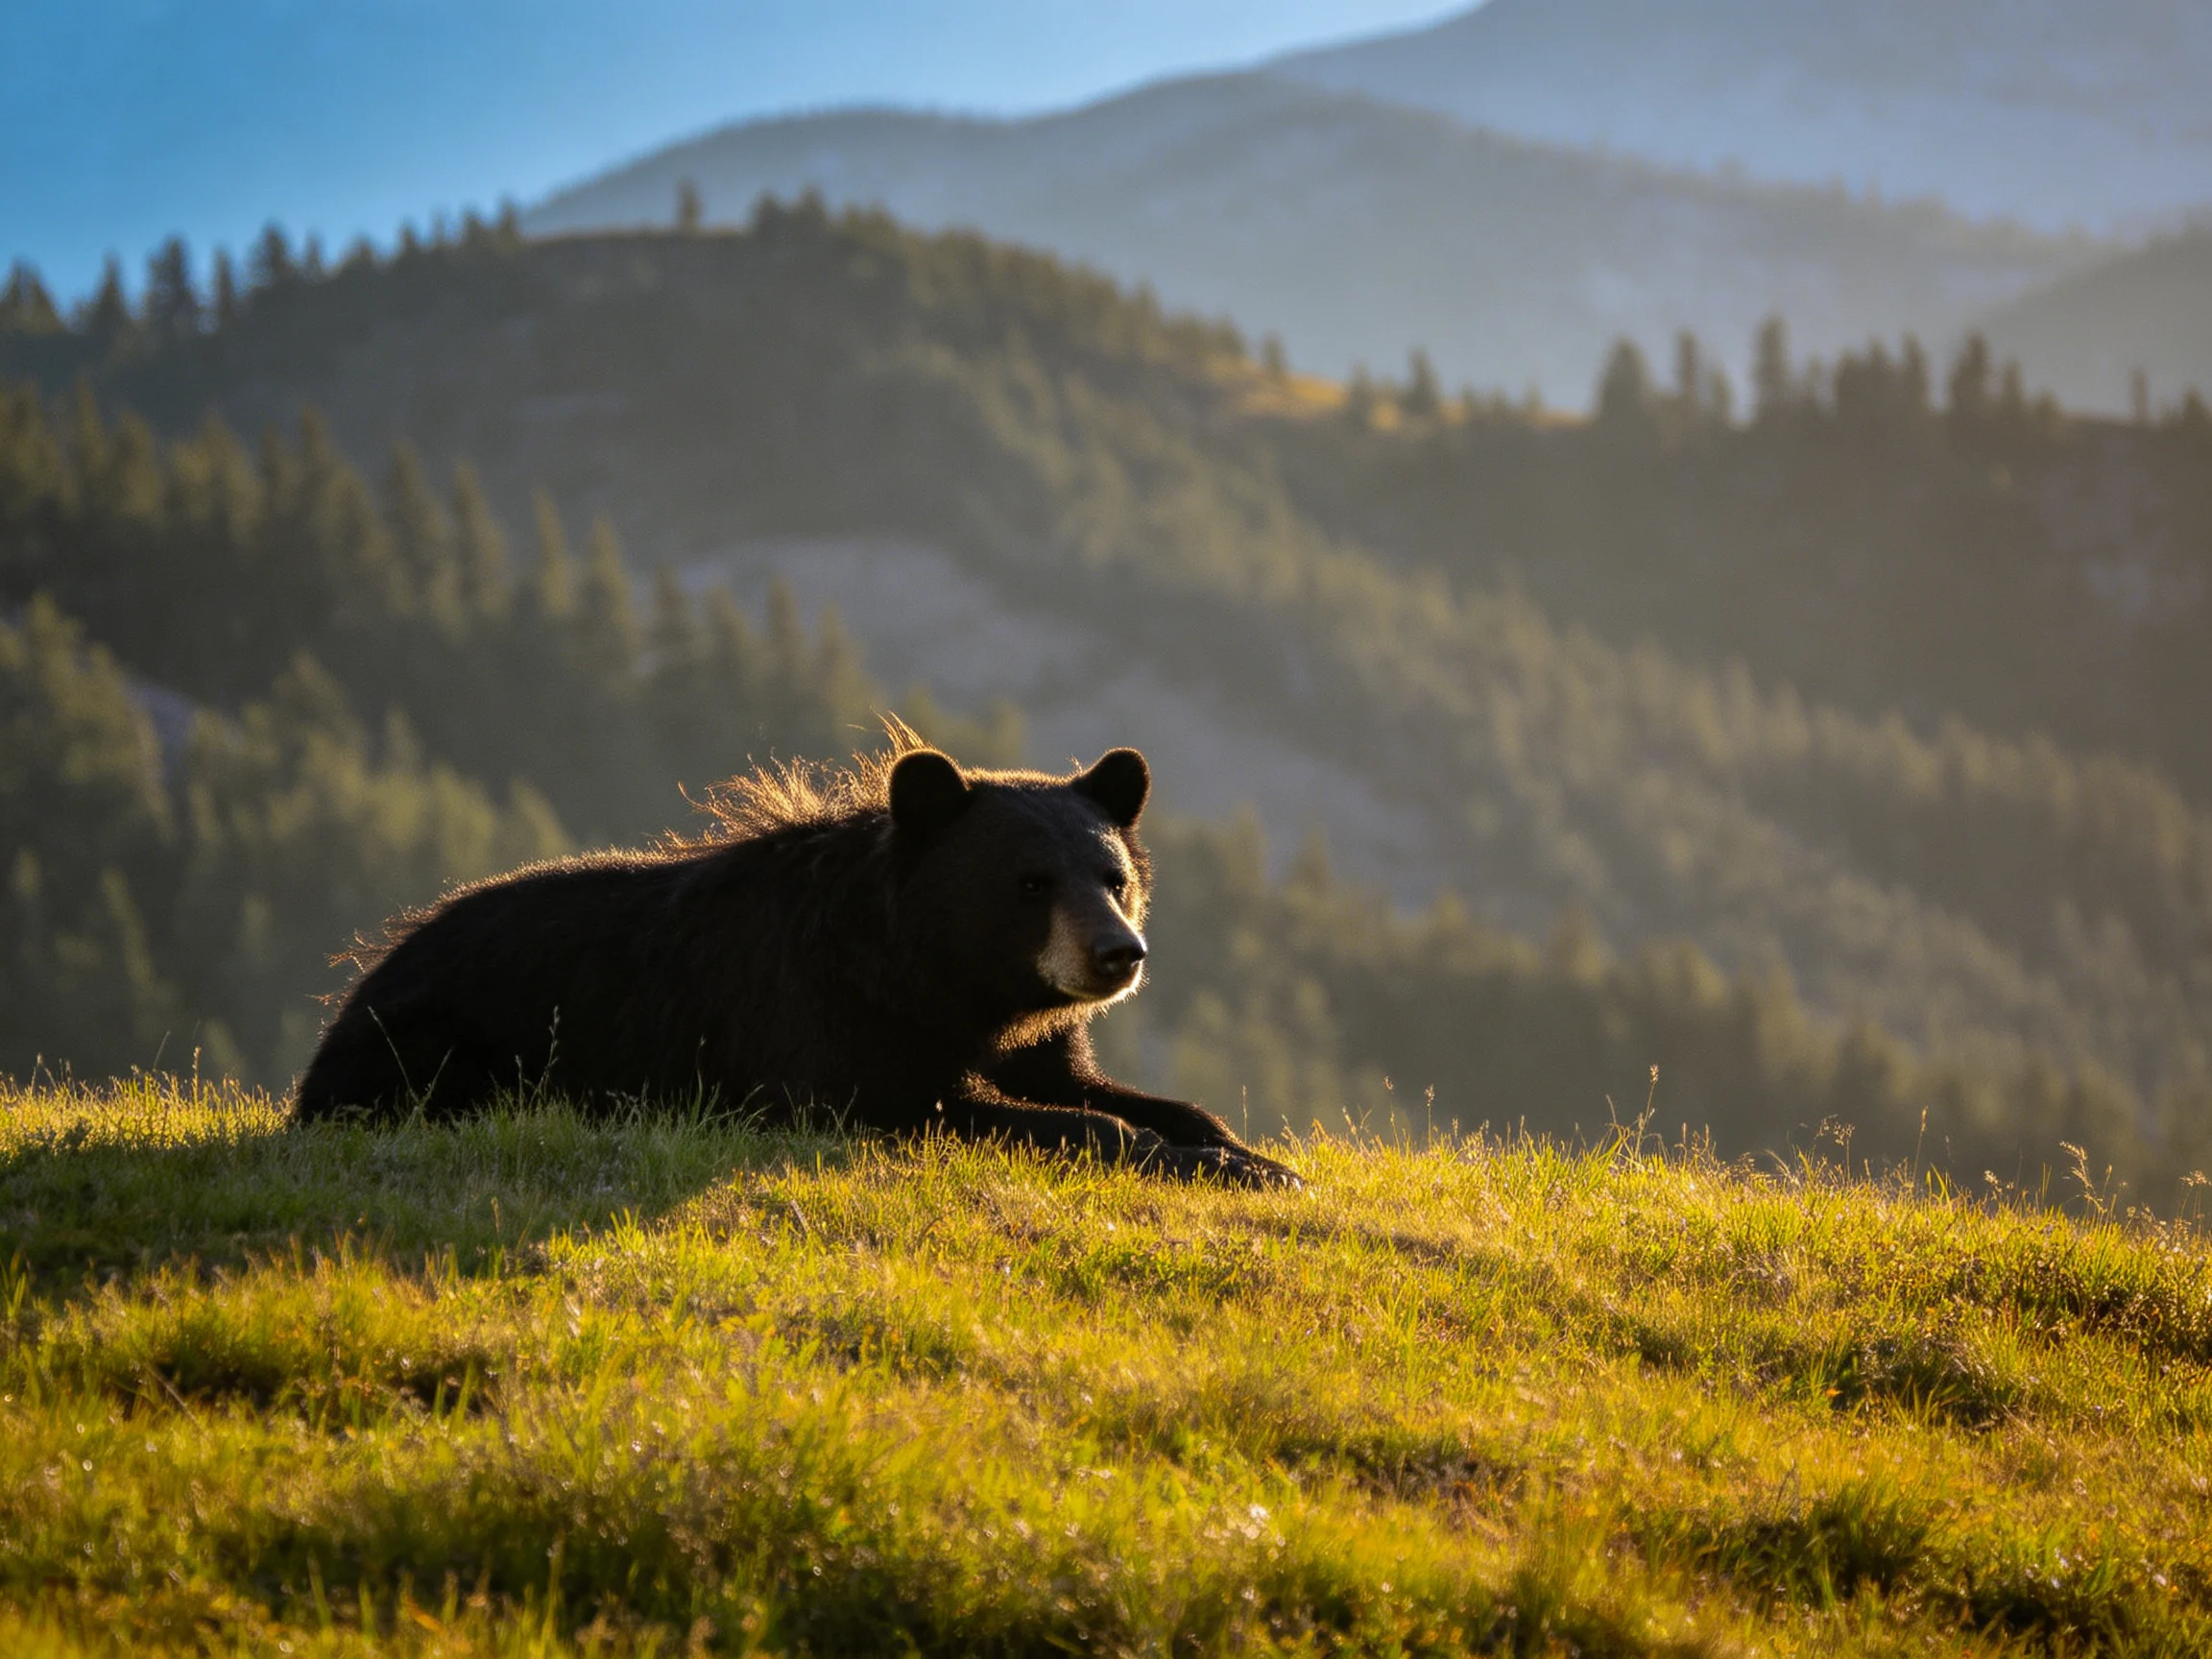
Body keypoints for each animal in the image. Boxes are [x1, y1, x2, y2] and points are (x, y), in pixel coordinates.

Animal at [292, 735, 1300, 1188]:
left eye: (1113, 876)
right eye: (1029, 883)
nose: (1116, 955)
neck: (939, 977)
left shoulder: (1027, 1037)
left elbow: (1108, 1088)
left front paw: (1246, 1152)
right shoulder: (824, 1022)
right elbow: (933, 1102)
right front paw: (1213, 1163)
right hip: (437, 1038)